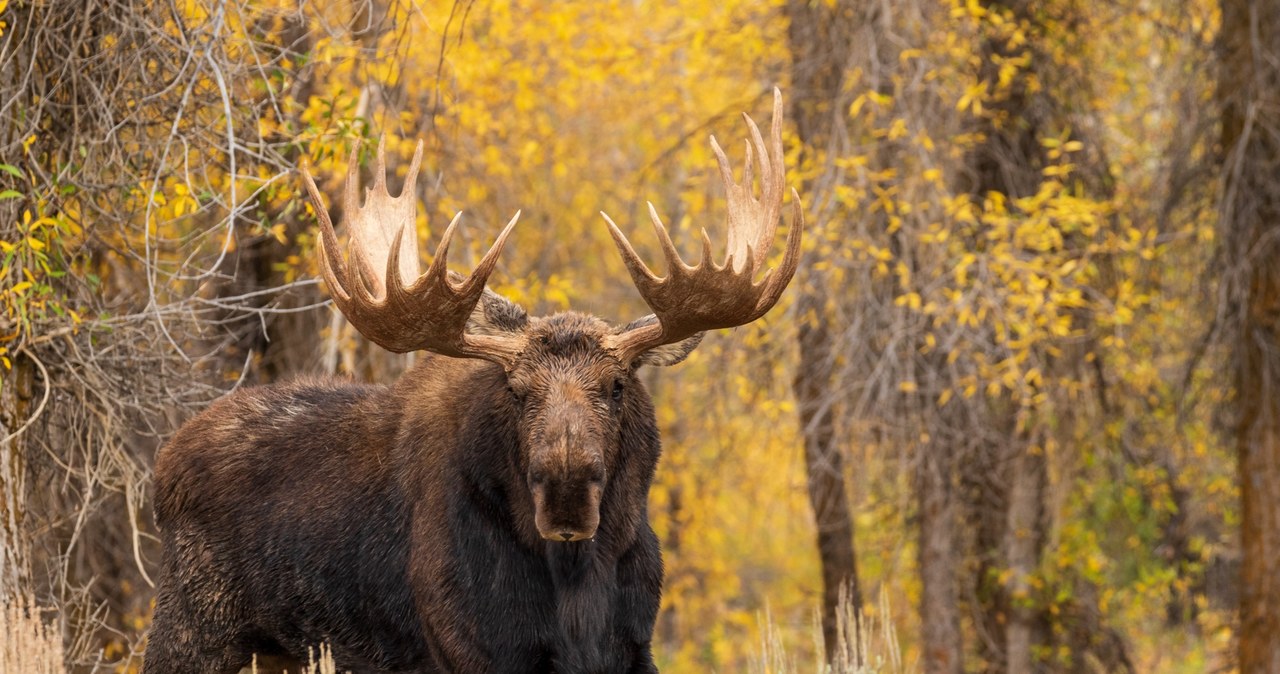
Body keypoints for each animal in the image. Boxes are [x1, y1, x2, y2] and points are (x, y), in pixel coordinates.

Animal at [145, 89, 803, 674]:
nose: (566, 489)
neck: (576, 589)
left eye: (617, 386)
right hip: (192, 628)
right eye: (516, 391)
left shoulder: (634, 645)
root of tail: (165, 463)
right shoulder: (472, 647)